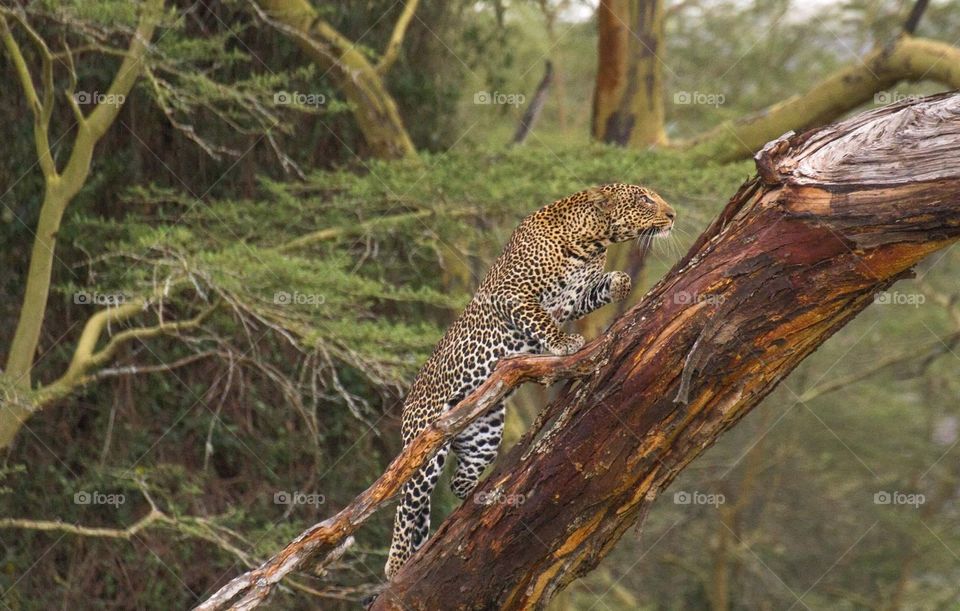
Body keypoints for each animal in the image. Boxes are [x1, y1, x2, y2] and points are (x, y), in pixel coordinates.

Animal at [384, 183, 676, 579]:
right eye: (645, 198)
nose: (672, 214)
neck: (592, 242)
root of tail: (409, 401)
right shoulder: (514, 294)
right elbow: (541, 319)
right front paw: (563, 342)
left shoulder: (576, 296)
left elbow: (600, 289)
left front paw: (619, 283)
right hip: (424, 448)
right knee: (407, 509)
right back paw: (397, 564)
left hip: (484, 434)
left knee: (458, 483)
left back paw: (489, 494)